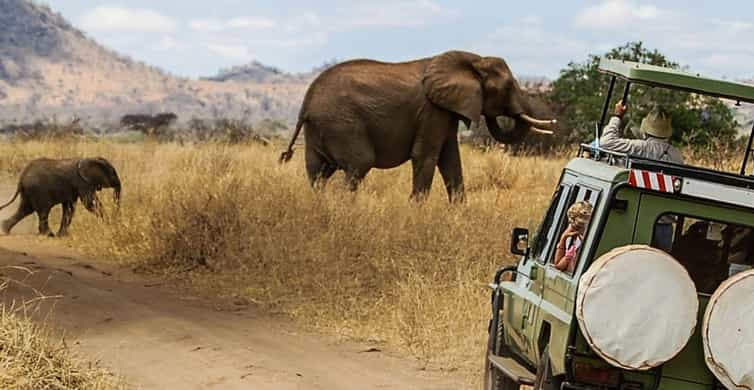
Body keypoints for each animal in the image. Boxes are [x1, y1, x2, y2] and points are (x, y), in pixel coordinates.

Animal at [280, 49, 556, 201]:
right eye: (508, 86)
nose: (552, 121)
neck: (472, 60)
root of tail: (306, 102)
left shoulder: (445, 110)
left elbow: (450, 159)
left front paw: (459, 212)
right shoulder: (432, 111)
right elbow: (425, 156)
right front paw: (416, 210)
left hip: (320, 128)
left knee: (318, 172)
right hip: (342, 124)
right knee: (359, 163)